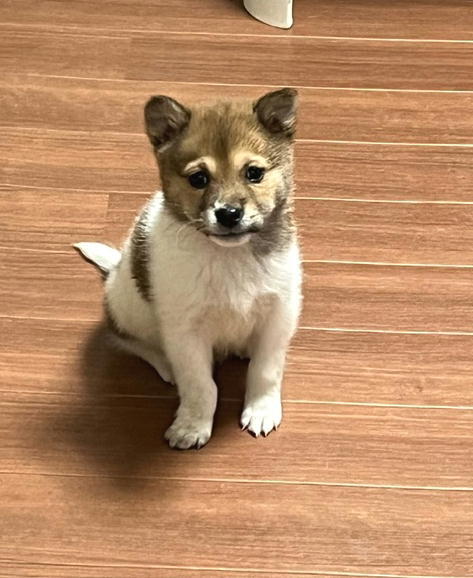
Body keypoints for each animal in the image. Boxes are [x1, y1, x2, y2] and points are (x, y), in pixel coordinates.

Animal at [75, 88, 302, 449]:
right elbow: (199, 384)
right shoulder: (185, 331)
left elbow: (265, 370)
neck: (229, 256)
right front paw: (192, 425)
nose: (228, 214)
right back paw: (164, 364)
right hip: (127, 311)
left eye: (254, 173)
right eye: (198, 178)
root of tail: (115, 269)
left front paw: (261, 409)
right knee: (131, 341)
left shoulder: (279, 313)